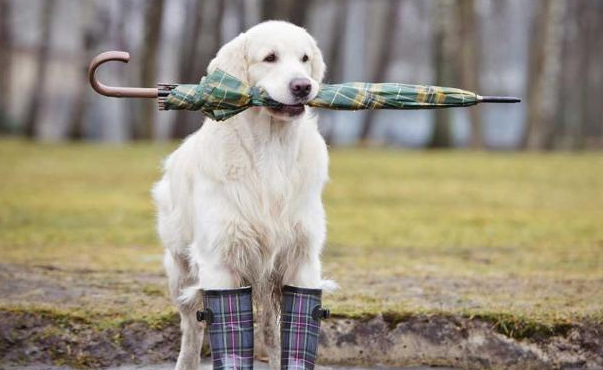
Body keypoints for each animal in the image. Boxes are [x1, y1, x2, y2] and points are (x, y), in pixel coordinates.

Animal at [153, 21, 336, 370]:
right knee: (192, 328)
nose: (303, 86)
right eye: (270, 57)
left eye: (305, 58)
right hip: (180, 268)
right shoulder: (220, 261)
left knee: (270, 329)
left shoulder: (302, 258)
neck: (271, 148)